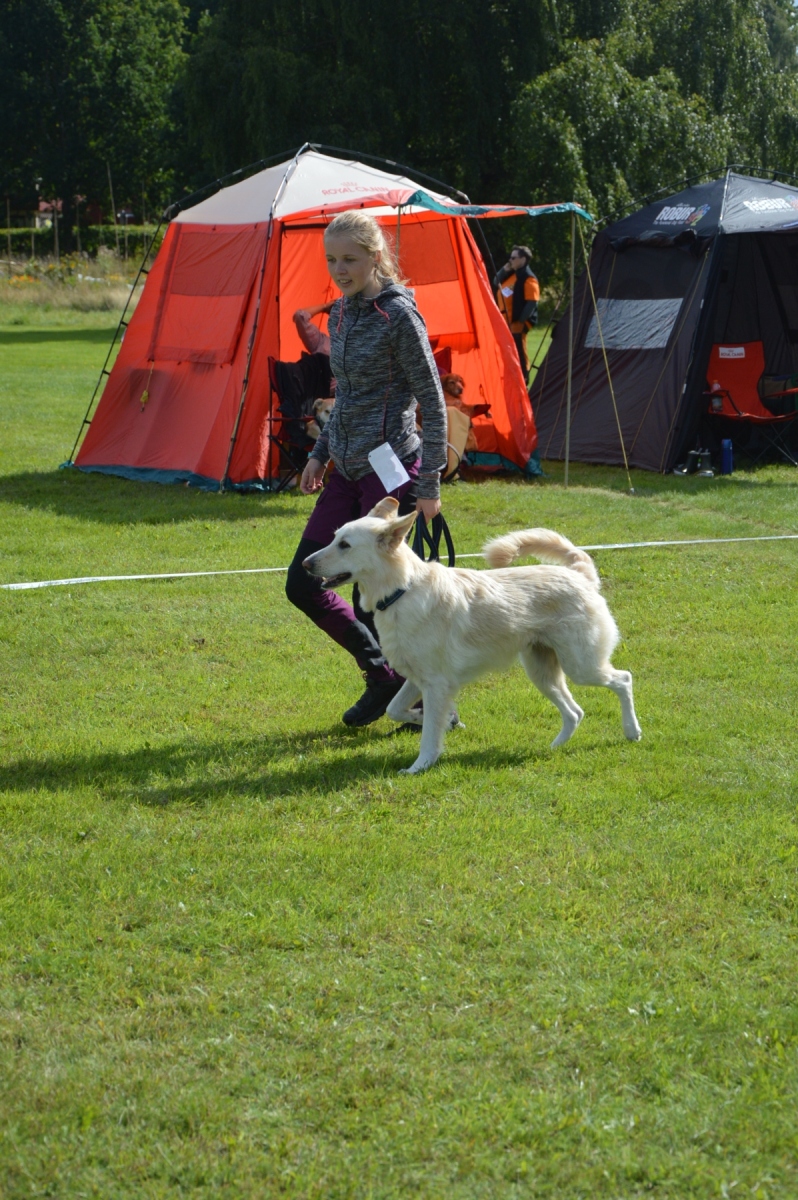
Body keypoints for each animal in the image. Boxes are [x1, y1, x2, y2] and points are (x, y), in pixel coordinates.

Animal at [303, 498, 642, 774]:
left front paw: (419, 767)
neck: (402, 591)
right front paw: (447, 721)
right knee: (575, 712)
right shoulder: (417, 679)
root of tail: (580, 574)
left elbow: (428, 736)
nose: (305, 563)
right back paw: (553, 749)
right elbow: (395, 709)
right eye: (334, 538)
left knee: (623, 680)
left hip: (582, 667)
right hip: (543, 674)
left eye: (344, 545)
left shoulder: (435, 684)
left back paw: (632, 732)